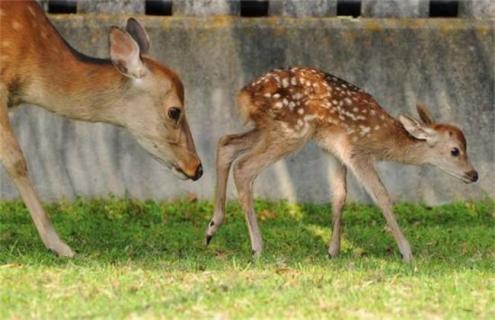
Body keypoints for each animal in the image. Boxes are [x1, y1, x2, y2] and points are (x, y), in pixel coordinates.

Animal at [203, 67, 478, 262]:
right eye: (455, 151)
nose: (473, 174)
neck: (382, 138)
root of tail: (244, 95)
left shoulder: (334, 152)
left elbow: (339, 196)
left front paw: (333, 251)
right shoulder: (356, 151)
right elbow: (381, 196)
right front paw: (407, 253)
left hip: (268, 129)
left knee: (226, 143)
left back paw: (211, 228)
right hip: (291, 131)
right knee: (244, 167)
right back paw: (257, 248)